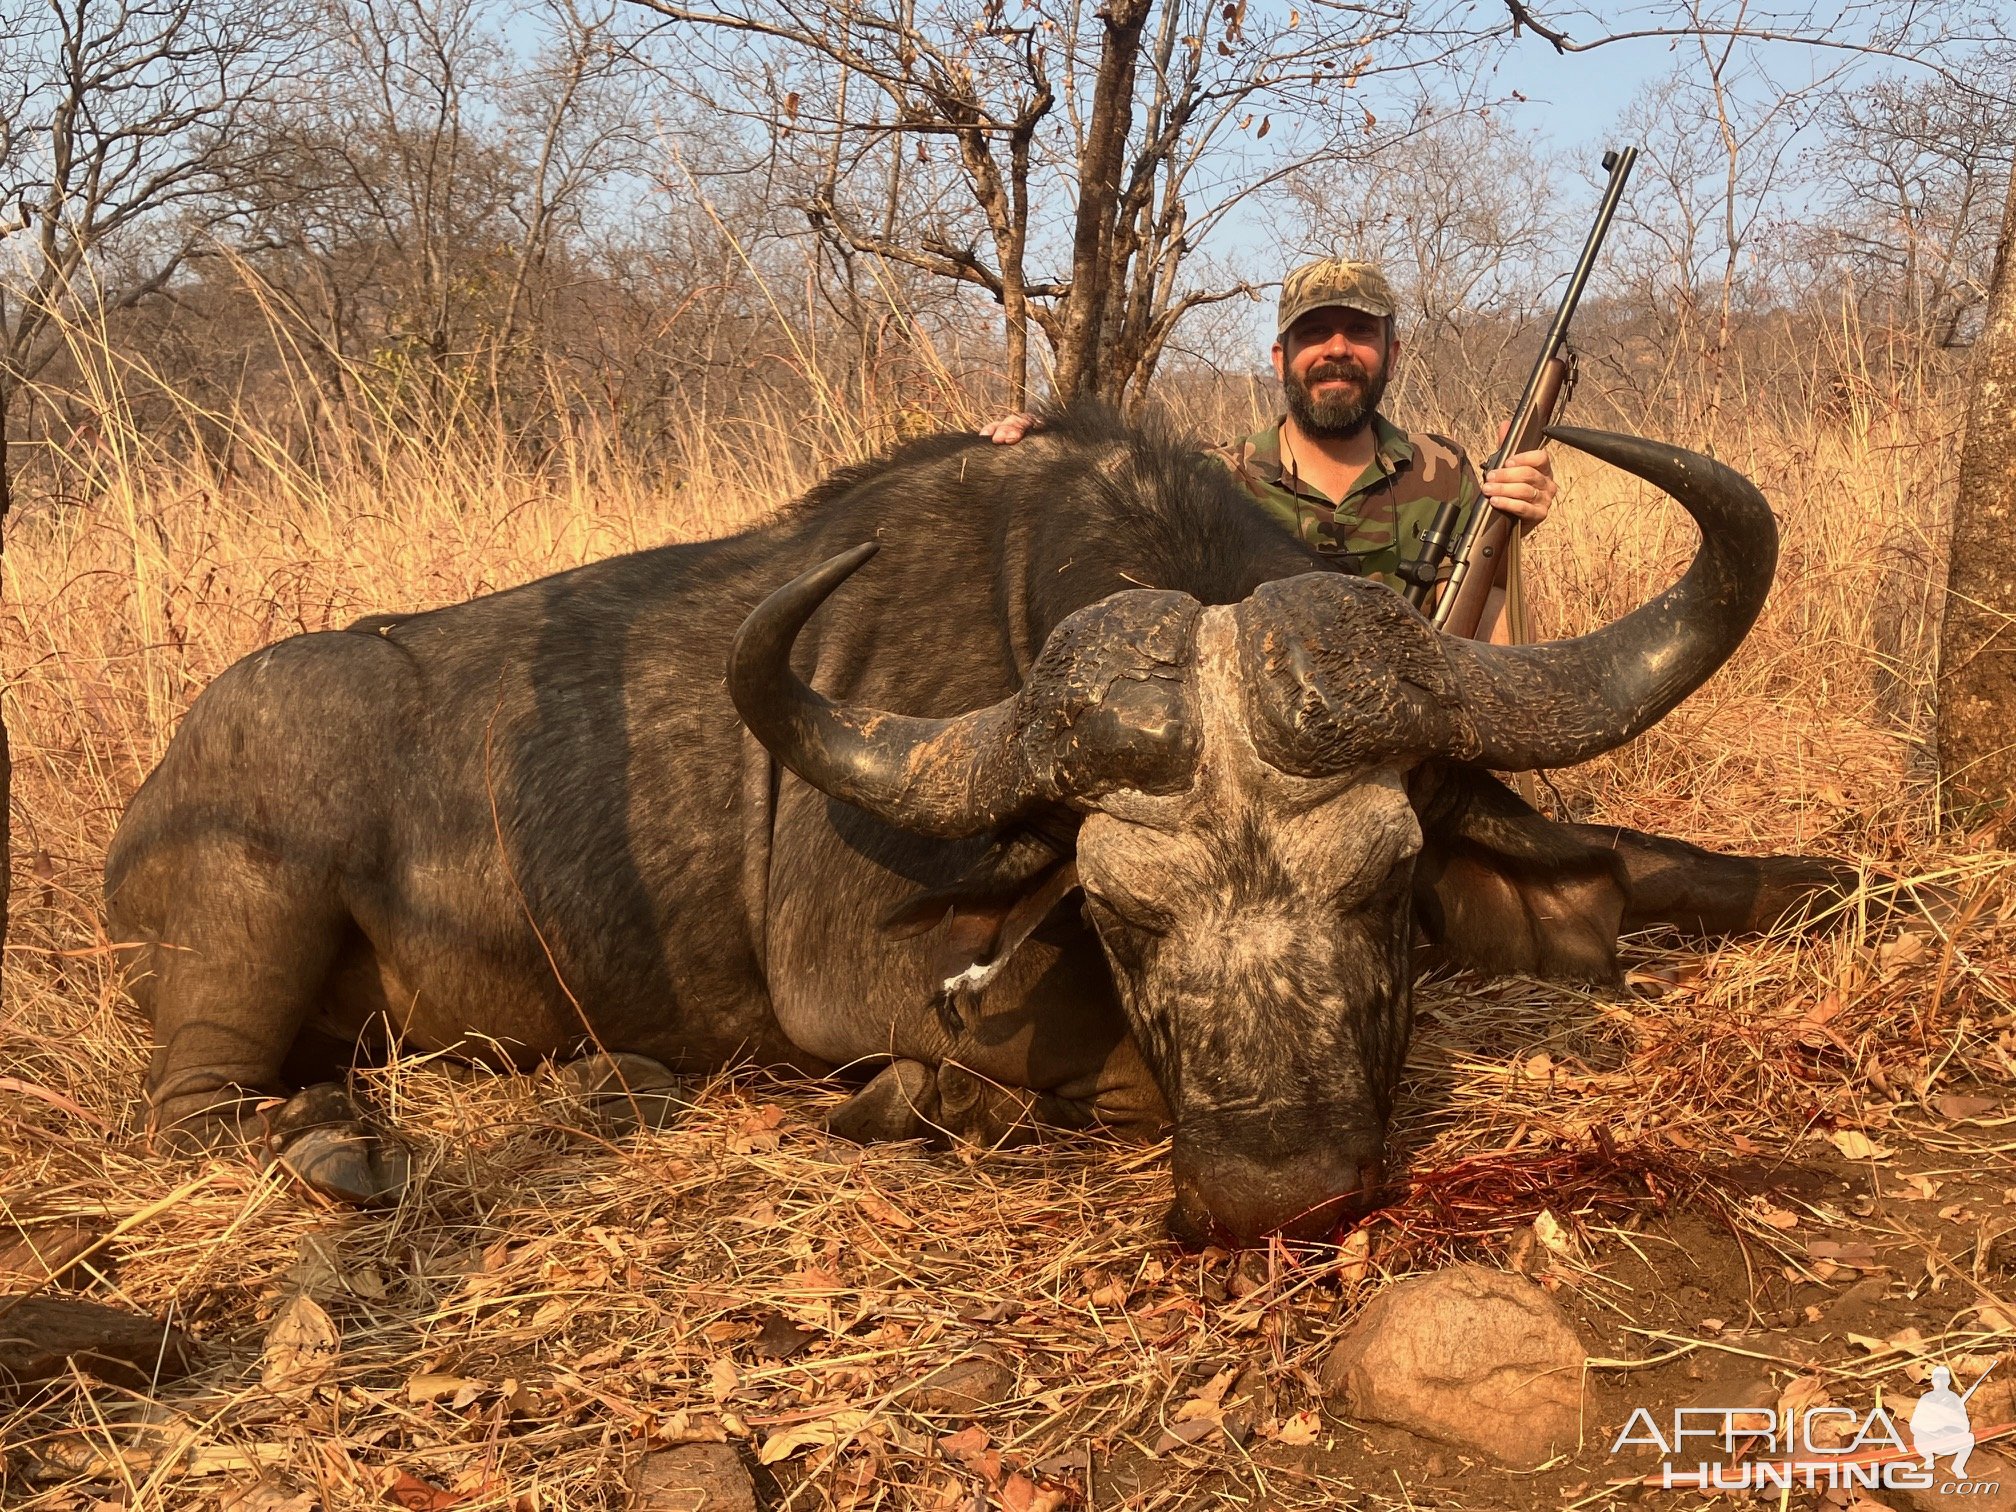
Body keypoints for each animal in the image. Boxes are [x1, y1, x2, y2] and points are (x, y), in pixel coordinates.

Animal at [102, 409, 1846, 1249]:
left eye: (1391, 881)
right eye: (1120, 915)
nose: (1276, 1191)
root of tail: (159, 794)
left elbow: (1656, 865)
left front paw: (1823, 878)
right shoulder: (861, 988)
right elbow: (1060, 1071)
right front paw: (918, 1101)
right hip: (251, 924)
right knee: (194, 1110)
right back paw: (352, 1148)